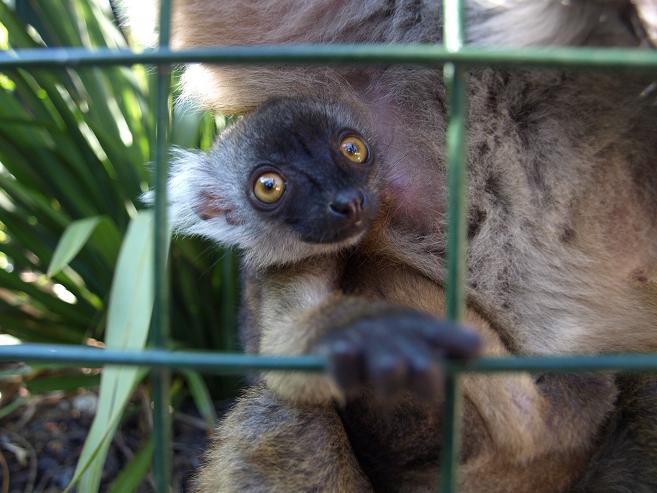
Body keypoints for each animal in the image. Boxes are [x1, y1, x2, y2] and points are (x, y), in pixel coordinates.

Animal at [124, 0, 657, 491]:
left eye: (352, 150)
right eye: (269, 187)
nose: (347, 202)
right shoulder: (291, 264)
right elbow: (285, 353)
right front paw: (354, 335)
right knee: (285, 414)